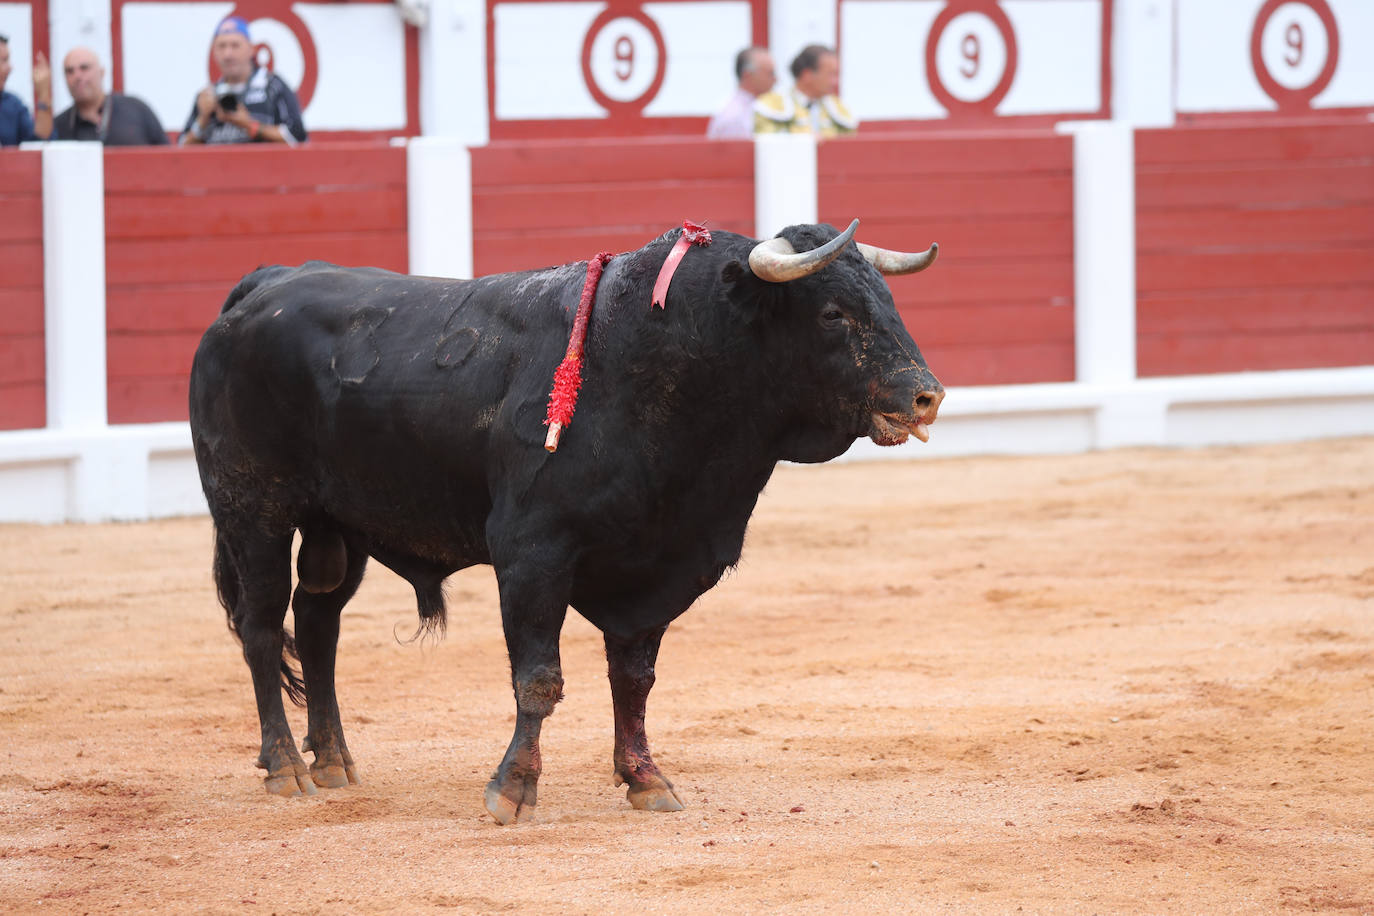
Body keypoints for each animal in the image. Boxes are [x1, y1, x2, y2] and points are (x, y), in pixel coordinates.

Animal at [190, 219, 945, 823]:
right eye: (833, 314)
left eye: (887, 301)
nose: (926, 396)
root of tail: (265, 284)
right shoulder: (532, 553)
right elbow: (539, 678)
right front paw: (513, 790)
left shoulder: (656, 563)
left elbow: (634, 679)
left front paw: (646, 779)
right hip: (252, 508)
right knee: (263, 627)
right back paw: (286, 767)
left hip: (337, 525)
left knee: (318, 622)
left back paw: (334, 762)